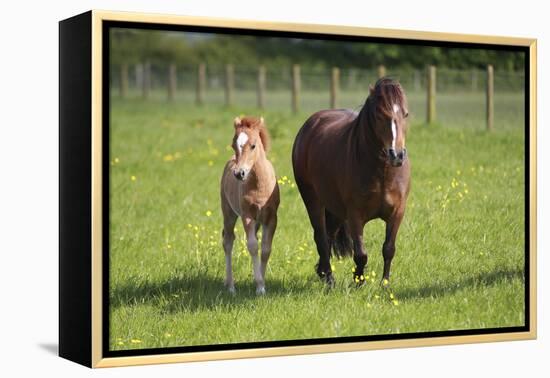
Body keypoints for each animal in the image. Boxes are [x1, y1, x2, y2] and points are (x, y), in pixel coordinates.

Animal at [220, 115, 280, 296]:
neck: (259, 186)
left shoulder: (271, 218)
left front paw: (262, 282)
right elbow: (253, 246)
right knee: (228, 241)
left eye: (253, 145)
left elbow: (266, 249)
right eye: (233, 145)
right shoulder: (247, 216)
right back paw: (230, 286)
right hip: (229, 213)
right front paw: (259, 286)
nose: (239, 173)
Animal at [294, 79, 410, 286]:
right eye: (380, 114)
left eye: (405, 114)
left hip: (336, 209)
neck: (383, 172)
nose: (397, 155)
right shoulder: (355, 215)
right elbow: (361, 254)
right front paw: (358, 281)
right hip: (313, 200)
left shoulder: (397, 212)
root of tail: (309, 126)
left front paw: (384, 284)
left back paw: (323, 272)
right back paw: (329, 279)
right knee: (321, 237)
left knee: (329, 236)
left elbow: (389, 249)